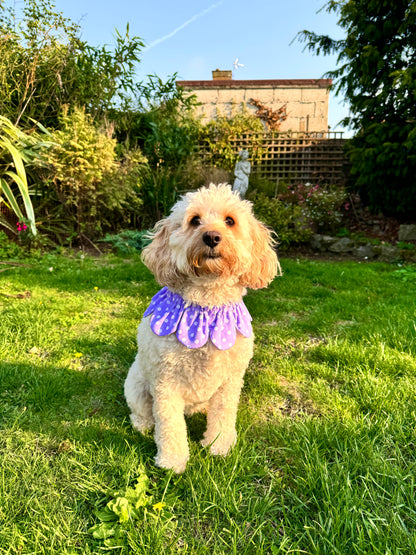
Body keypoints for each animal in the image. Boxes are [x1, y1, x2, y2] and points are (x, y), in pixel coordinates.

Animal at [123, 184, 280, 474]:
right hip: (137, 384)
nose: (212, 236)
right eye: (195, 220)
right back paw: (143, 425)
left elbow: (224, 416)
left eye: (230, 221)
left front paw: (218, 447)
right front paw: (172, 461)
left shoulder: (230, 382)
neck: (207, 306)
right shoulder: (165, 383)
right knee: (141, 411)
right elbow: (170, 426)